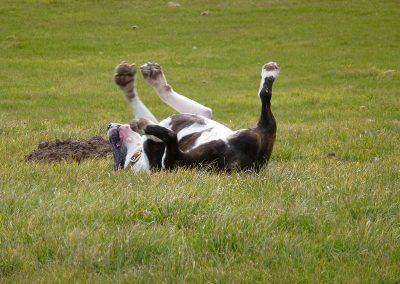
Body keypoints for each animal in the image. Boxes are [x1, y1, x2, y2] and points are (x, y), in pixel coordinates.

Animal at [108, 61, 280, 172]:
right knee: (171, 138)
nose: (108, 125)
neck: (136, 158)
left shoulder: (203, 113)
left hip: (266, 133)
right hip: (176, 161)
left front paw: (137, 80)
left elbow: (164, 92)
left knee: (265, 96)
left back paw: (269, 72)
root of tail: (243, 165)